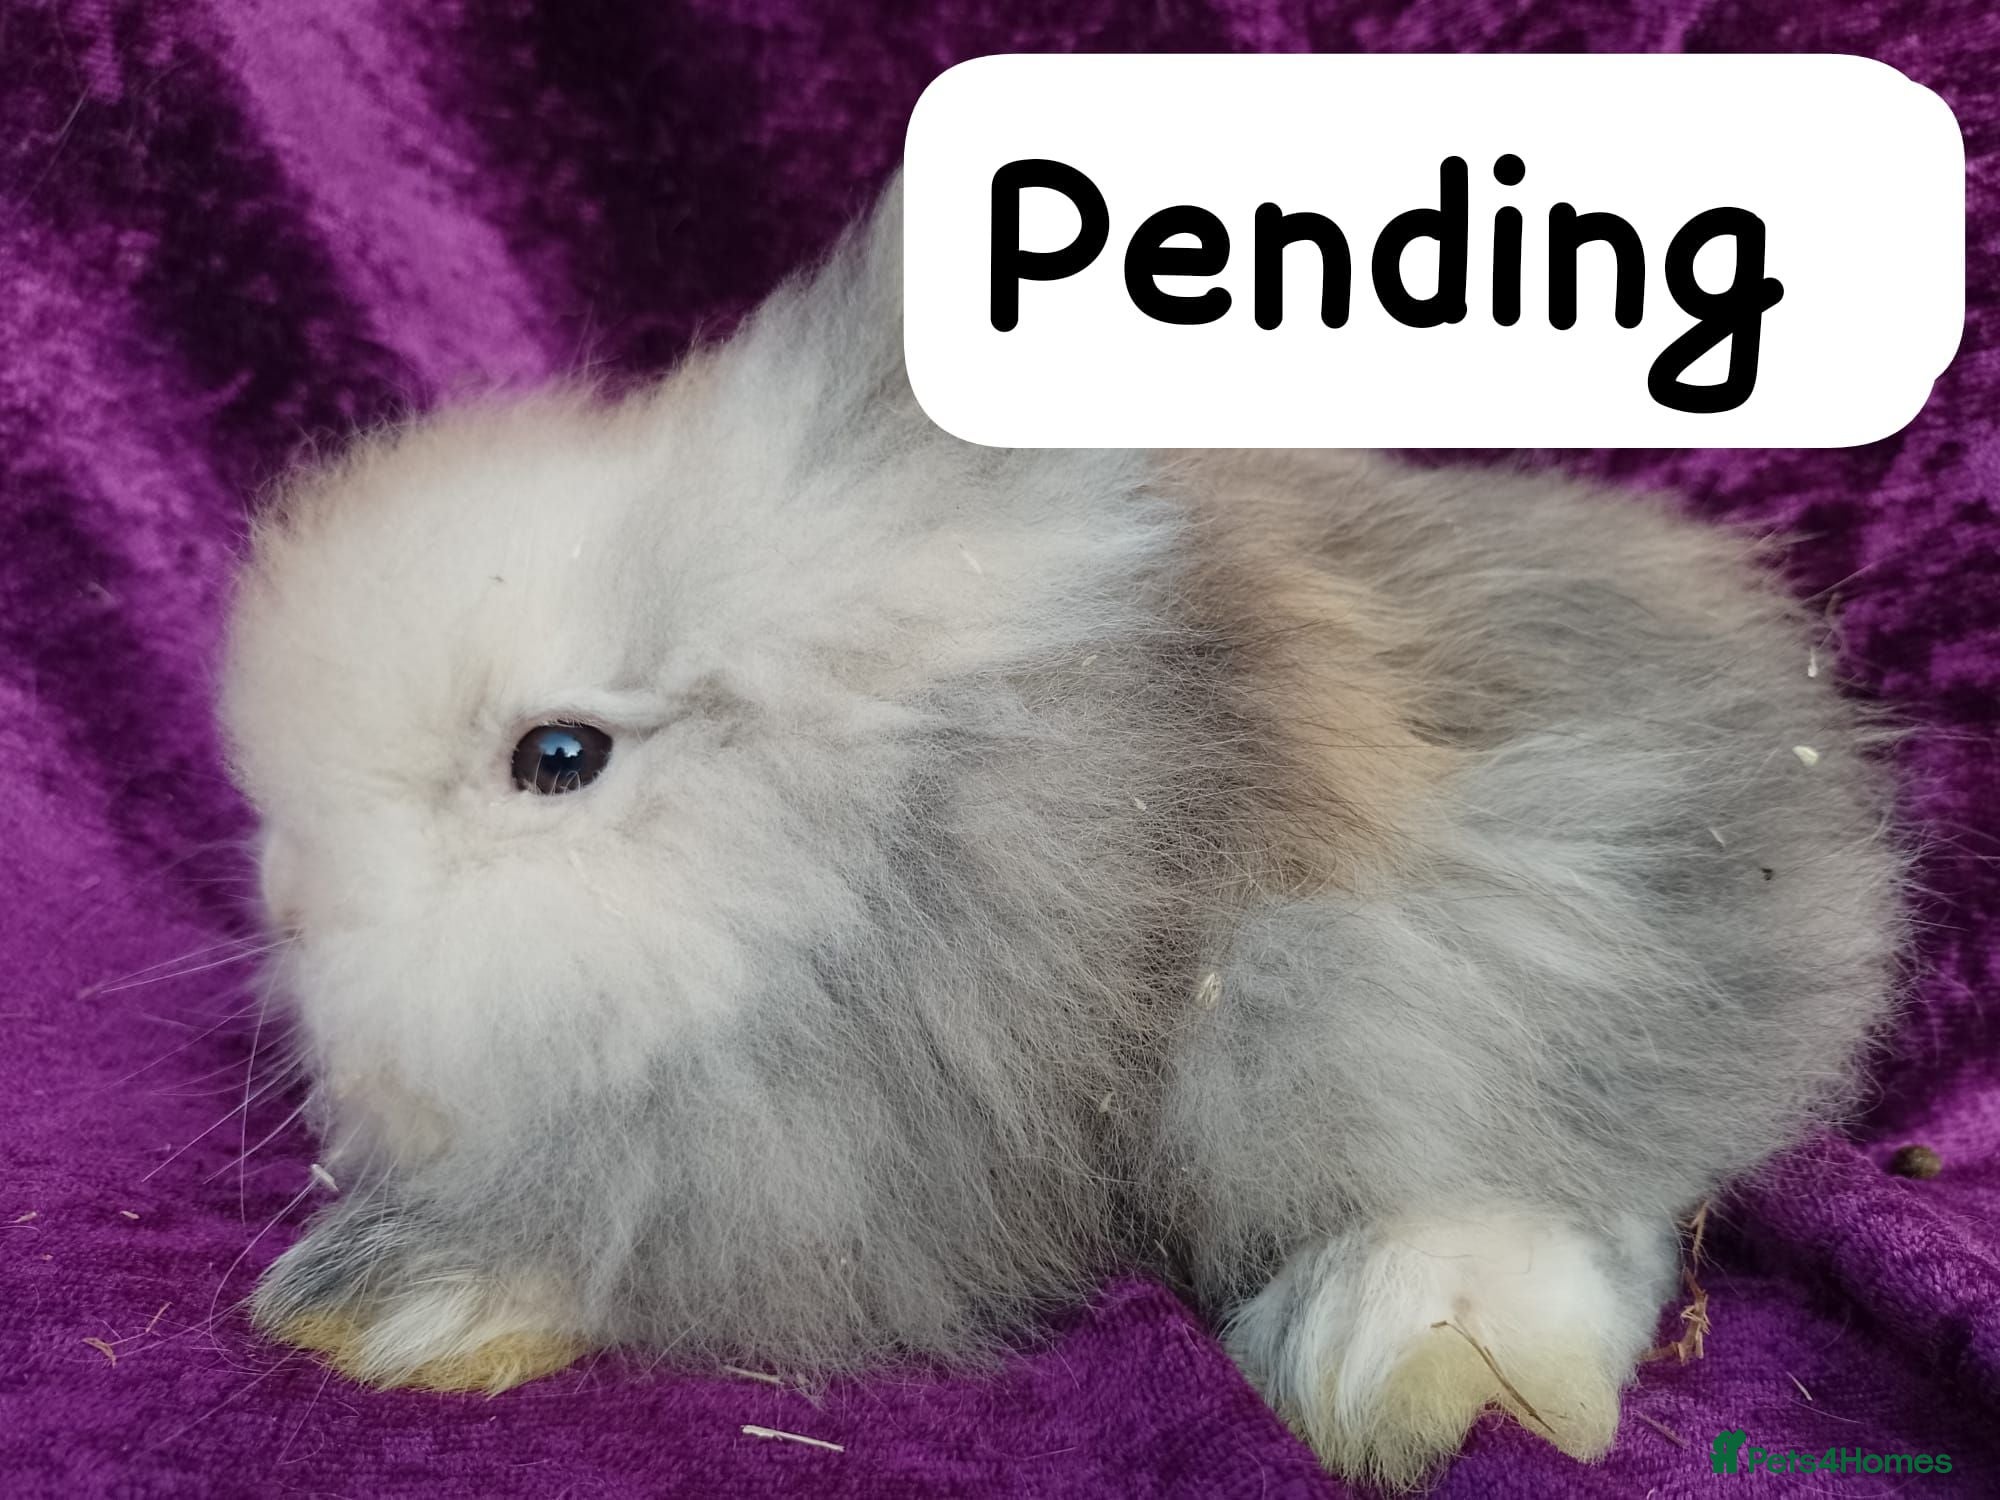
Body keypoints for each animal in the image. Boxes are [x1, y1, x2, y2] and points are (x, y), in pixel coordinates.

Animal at [217, 179, 1904, 1489]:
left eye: (557, 758)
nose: (293, 903)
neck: (873, 839)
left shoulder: (861, 1155)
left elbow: (644, 1247)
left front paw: (393, 1300)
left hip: (1454, 963)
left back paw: (1413, 1362)